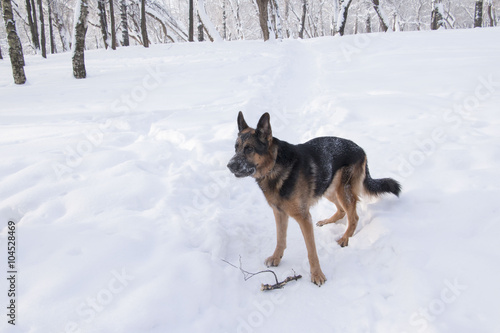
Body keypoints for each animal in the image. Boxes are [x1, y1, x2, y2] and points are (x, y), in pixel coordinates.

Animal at [229, 112, 400, 286]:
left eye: (249, 149)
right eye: (236, 148)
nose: (229, 165)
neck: (274, 166)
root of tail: (360, 149)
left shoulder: (304, 218)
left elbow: (311, 250)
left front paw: (317, 274)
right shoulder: (279, 213)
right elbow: (280, 239)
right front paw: (277, 257)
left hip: (342, 191)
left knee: (353, 217)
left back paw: (345, 238)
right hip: (327, 188)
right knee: (341, 211)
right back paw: (327, 221)